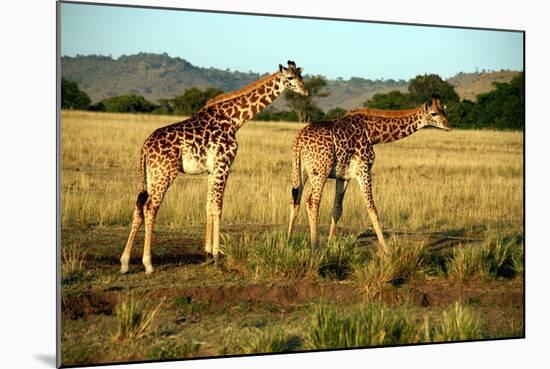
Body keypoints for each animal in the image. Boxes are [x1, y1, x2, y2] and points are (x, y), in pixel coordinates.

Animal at [122, 60, 310, 274]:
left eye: (301, 76)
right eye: (290, 78)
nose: (305, 92)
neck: (234, 119)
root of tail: (145, 148)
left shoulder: (212, 170)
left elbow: (208, 206)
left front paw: (208, 253)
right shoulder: (223, 165)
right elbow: (218, 207)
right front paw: (217, 255)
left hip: (149, 175)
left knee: (138, 206)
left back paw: (125, 262)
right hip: (165, 173)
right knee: (150, 207)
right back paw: (148, 264)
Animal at [288, 95, 452, 250]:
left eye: (444, 110)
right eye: (434, 113)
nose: (448, 126)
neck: (373, 133)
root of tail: (299, 139)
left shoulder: (344, 176)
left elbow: (337, 210)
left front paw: (329, 245)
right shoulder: (364, 169)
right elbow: (372, 208)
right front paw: (387, 250)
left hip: (300, 170)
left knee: (295, 199)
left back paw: (289, 241)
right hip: (320, 171)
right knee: (312, 202)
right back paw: (314, 246)